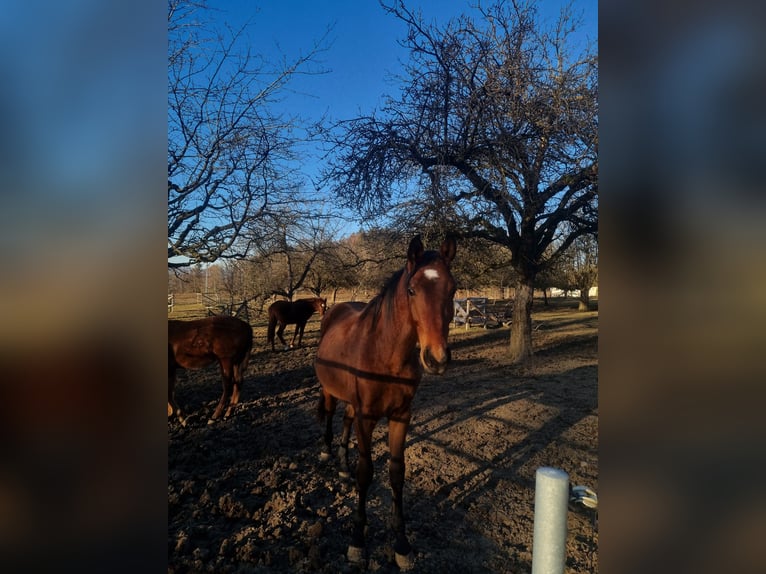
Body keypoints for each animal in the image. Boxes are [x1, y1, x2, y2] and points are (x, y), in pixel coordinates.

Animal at [314, 235, 457, 569]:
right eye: (412, 290)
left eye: (453, 289)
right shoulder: (368, 417)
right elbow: (366, 473)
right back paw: (327, 453)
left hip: (353, 404)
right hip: (330, 390)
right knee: (329, 415)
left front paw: (402, 544)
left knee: (345, 421)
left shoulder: (401, 416)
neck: (386, 354)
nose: (436, 359)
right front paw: (357, 540)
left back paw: (343, 466)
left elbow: (396, 473)